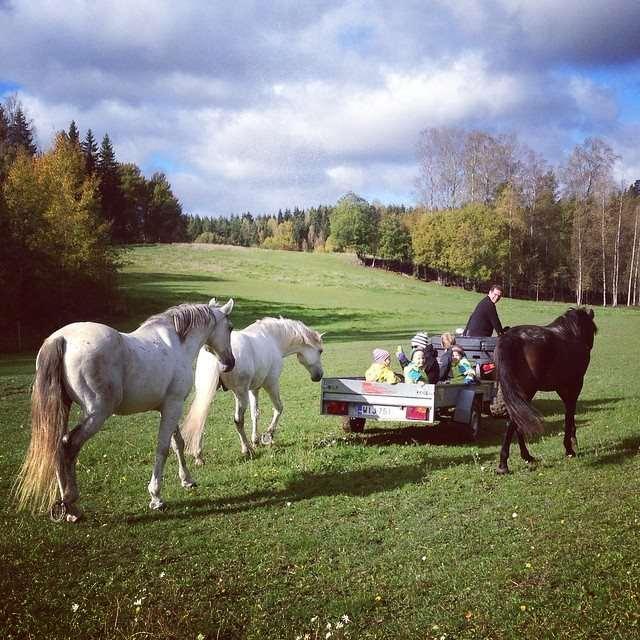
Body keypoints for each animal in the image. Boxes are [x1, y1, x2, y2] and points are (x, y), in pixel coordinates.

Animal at [14, 298, 235, 520]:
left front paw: (187, 480)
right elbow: (163, 449)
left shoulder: (170, 406)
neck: (178, 344)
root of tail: (61, 339)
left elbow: (177, 444)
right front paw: (156, 497)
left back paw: (67, 509)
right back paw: (71, 504)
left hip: (64, 409)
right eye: (230, 327)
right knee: (68, 445)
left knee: (57, 448)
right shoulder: (173, 405)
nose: (230, 363)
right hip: (97, 414)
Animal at [181, 318, 324, 462]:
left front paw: (256, 440)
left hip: (207, 394)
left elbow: (255, 414)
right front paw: (269, 435)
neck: (273, 338)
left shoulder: (254, 389)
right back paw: (247, 450)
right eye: (320, 351)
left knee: (201, 417)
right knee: (238, 421)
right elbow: (278, 408)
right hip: (240, 395)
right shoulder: (271, 384)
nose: (319, 376)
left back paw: (199, 456)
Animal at [492, 308, 596, 472]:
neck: (570, 332)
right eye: (592, 329)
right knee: (514, 422)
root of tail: (510, 338)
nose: (589, 346)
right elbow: (569, 413)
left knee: (518, 420)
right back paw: (504, 464)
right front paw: (570, 447)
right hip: (527, 391)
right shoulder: (575, 384)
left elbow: (569, 412)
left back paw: (526, 456)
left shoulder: (561, 387)